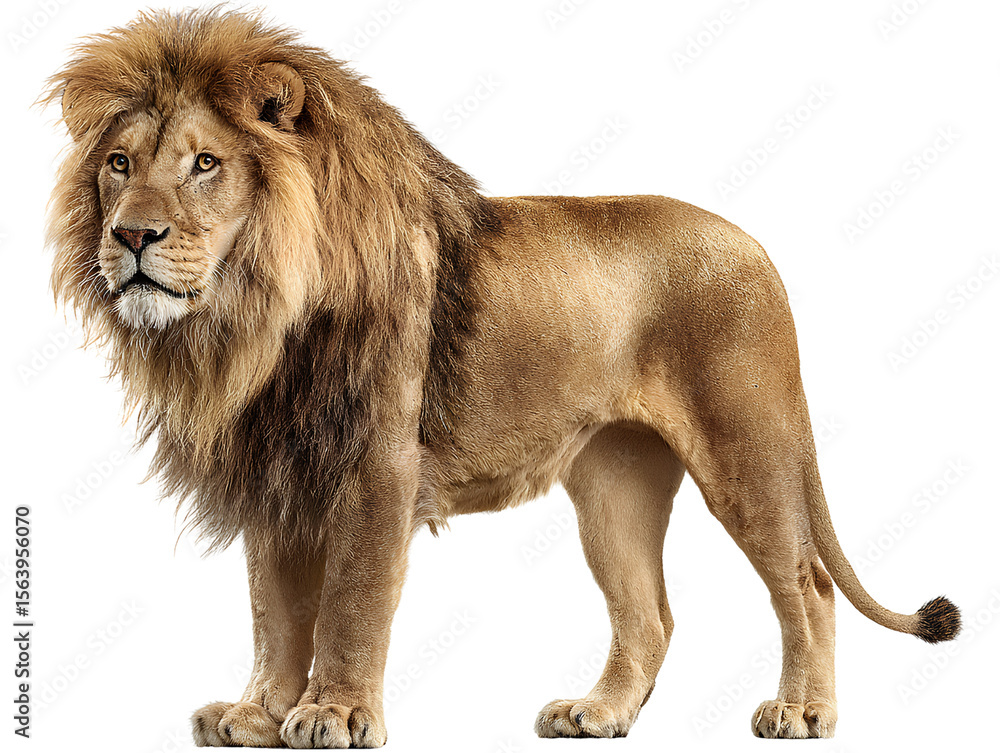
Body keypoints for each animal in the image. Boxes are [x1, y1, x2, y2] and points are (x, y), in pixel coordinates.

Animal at [45, 8, 960, 748]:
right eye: (119, 163)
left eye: (205, 163)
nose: (131, 237)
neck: (254, 317)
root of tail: (758, 247)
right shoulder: (278, 472)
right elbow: (275, 608)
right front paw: (259, 713)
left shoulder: (377, 467)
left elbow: (348, 601)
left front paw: (334, 713)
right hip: (614, 482)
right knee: (651, 614)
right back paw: (599, 712)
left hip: (746, 448)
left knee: (807, 584)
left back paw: (803, 711)